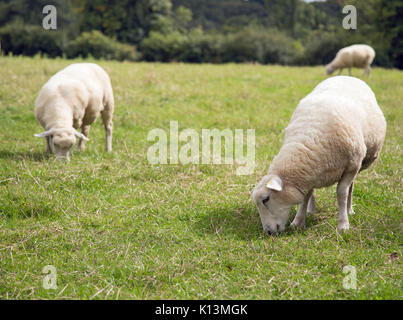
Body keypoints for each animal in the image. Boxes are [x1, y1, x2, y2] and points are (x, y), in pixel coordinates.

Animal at [252, 76, 388, 234]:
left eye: (266, 199)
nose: (268, 232)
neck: (310, 138)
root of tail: (347, 76)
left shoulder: (351, 166)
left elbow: (342, 193)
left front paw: (343, 225)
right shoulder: (308, 173)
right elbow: (305, 196)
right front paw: (298, 222)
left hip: (359, 162)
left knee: (350, 187)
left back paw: (349, 210)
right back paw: (311, 210)